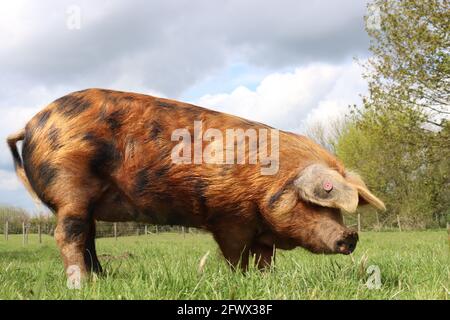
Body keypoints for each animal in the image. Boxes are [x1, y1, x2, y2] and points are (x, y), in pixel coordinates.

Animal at [6, 88, 386, 278]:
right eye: (316, 202)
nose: (350, 235)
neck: (265, 184)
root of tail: (31, 124)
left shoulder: (260, 230)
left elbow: (265, 258)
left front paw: (266, 281)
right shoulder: (228, 218)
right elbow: (236, 255)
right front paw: (240, 281)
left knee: (88, 237)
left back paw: (104, 278)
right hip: (70, 186)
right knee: (68, 235)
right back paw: (83, 284)